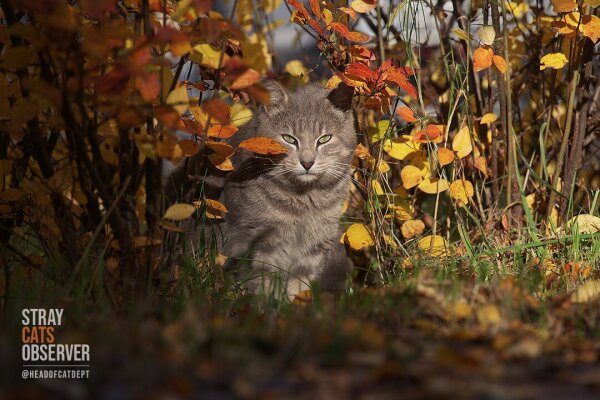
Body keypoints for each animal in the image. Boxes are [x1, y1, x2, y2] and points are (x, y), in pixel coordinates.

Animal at [168, 81, 356, 298]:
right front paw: (265, 304)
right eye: (289, 139)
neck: (304, 201)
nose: (307, 162)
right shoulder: (258, 241)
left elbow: (298, 287)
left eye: (324, 139)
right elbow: (262, 283)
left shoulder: (314, 247)